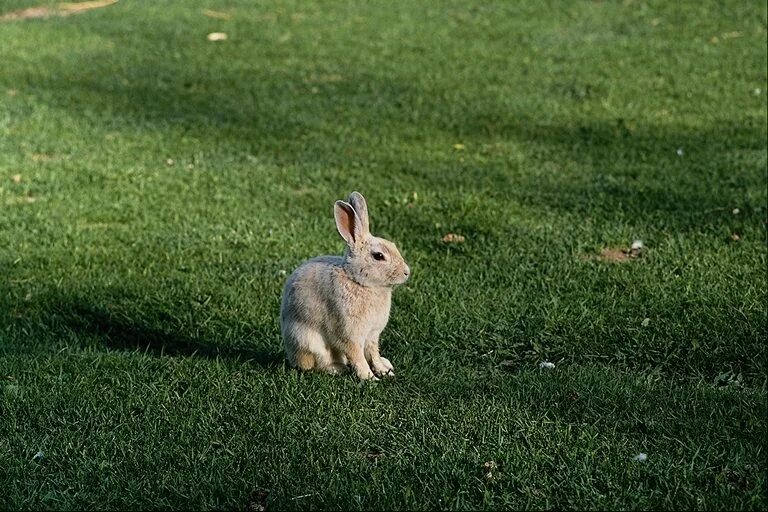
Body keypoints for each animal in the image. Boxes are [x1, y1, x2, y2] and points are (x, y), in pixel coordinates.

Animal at [280, 192, 412, 380]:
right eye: (378, 256)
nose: (406, 272)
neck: (358, 281)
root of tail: (292, 356)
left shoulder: (372, 336)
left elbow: (373, 354)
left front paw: (384, 372)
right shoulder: (349, 335)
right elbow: (357, 356)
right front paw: (370, 378)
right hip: (309, 342)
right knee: (319, 364)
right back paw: (338, 369)